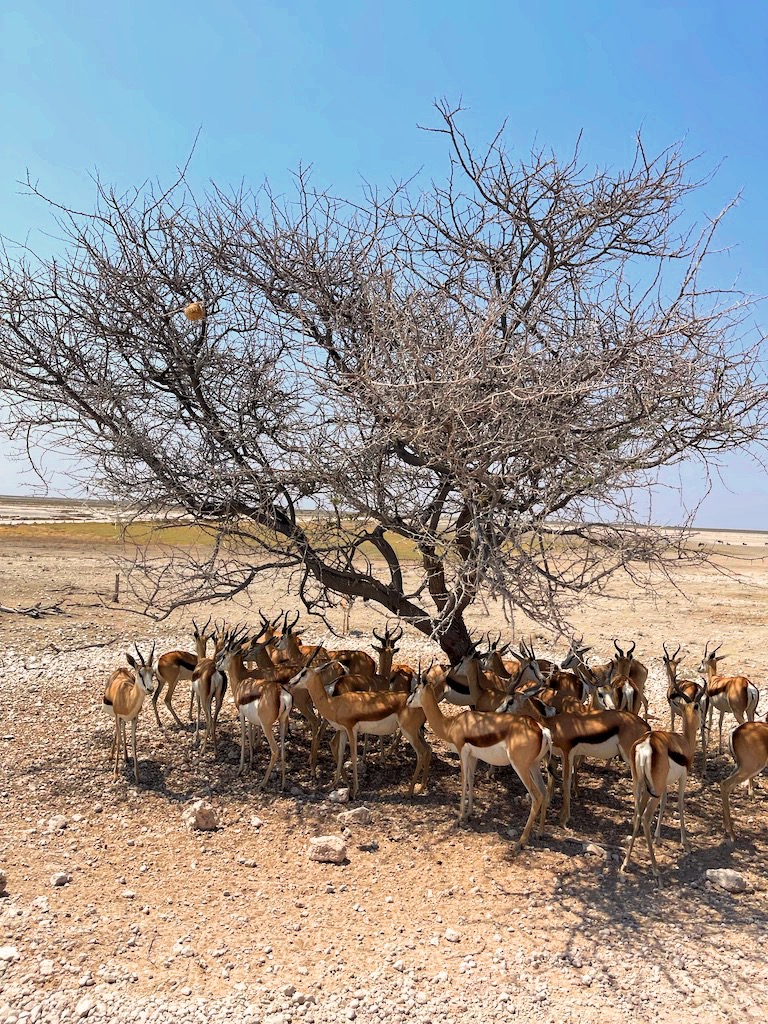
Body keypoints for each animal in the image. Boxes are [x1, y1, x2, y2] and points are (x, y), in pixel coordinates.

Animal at [103, 647, 156, 782]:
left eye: (153, 673)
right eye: (140, 674)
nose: (150, 689)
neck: (127, 699)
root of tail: (121, 669)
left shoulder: (134, 718)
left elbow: (133, 742)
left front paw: (137, 775)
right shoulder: (117, 716)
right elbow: (119, 739)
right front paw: (115, 774)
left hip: (124, 719)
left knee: (122, 729)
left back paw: (126, 757)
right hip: (117, 717)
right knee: (118, 732)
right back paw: (111, 756)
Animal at [288, 655, 434, 798]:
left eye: (303, 673)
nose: (290, 682)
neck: (335, 703)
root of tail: (421, 705)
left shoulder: (351, 729)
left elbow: (353, 756)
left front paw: (354, 791)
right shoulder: (343, 730)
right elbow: (340, 753)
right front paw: (332, 785)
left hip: (408, 732)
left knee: (421, 753)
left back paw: (409, 792)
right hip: (415, 732)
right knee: (428, 749)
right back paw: (421, 788)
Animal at [405, 671, 548, 847]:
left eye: (415, 689)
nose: (407, 702)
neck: (451, 723)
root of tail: (541, 730)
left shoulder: (462, 752)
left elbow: (463, 780)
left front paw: (459, 818)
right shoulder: (473, 756)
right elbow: (471, 779)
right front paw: (468, 814)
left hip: (520, 767)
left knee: (537, 796)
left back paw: (520, 841)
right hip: (534, 765)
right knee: (544, 792)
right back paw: (540, 833)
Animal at [622, 688, 708, 880]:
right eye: (699, 708)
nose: (703, 724)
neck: (684, 742)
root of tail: (646, 745)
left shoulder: (663, 786)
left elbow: (664, 804)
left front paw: (658, 838)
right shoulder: (682, 777)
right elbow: (680, 804)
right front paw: (686, 844)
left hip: (640, 787)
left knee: (636, 816)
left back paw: (625, 863)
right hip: (653, 789)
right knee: (645, 818)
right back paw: (655, 869)